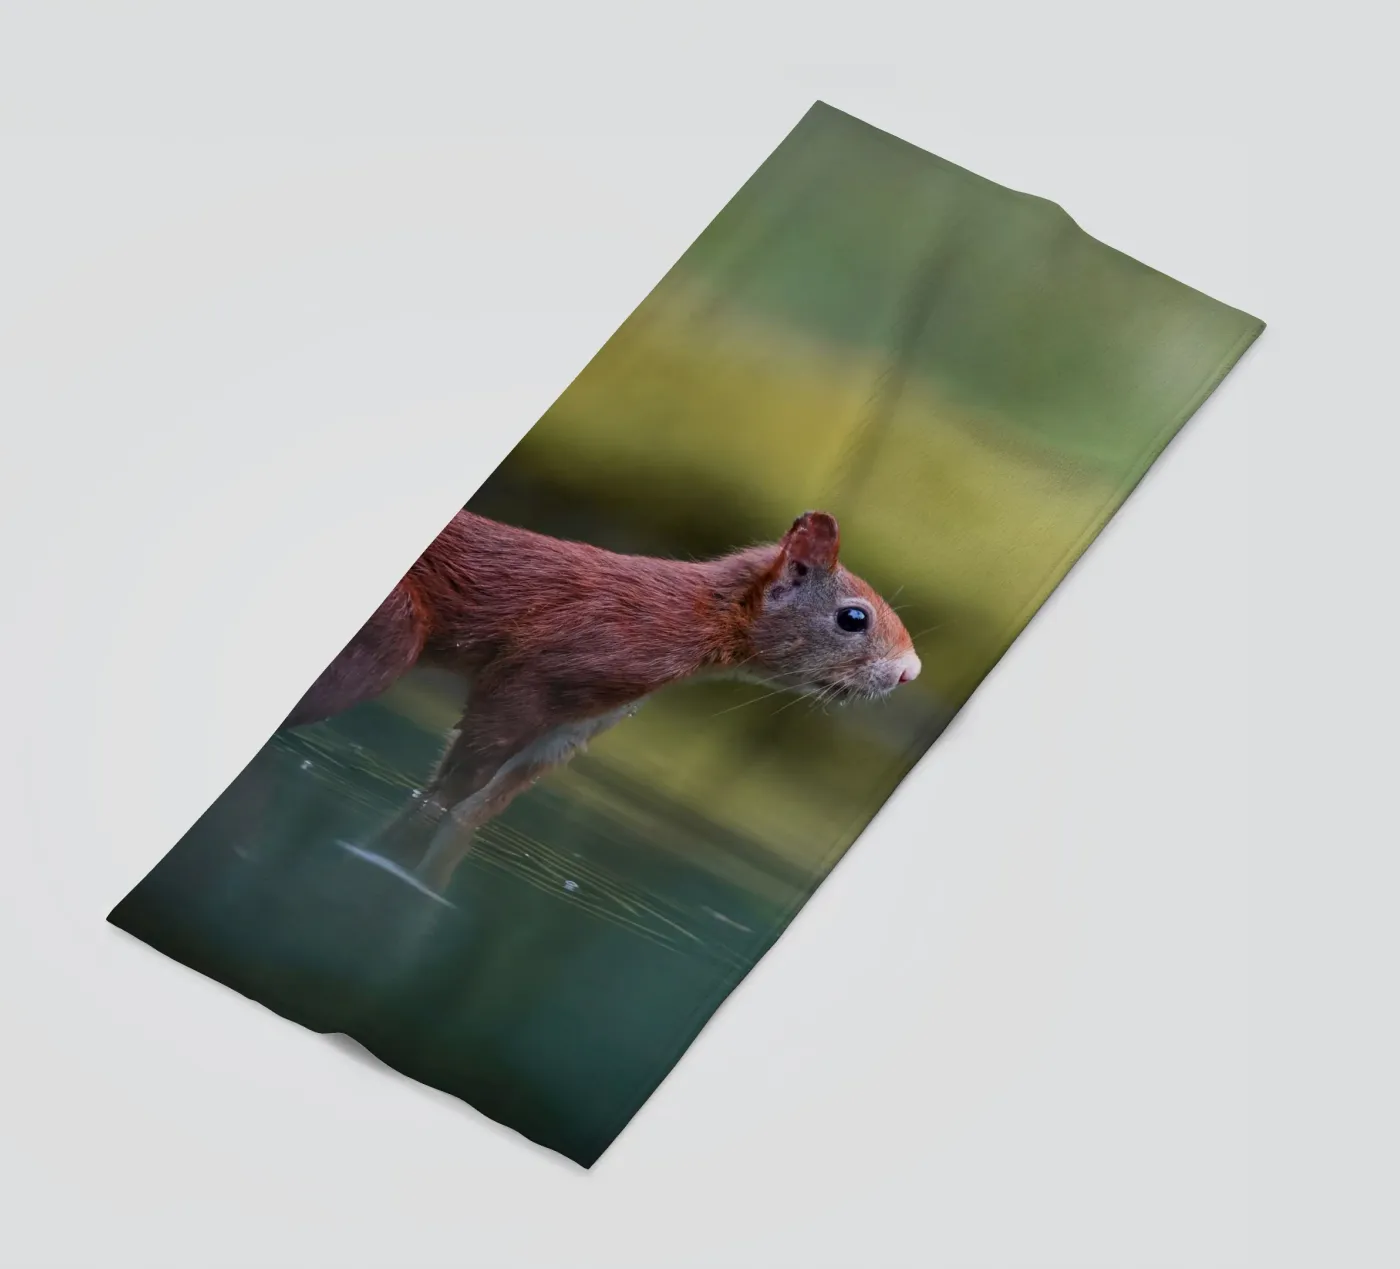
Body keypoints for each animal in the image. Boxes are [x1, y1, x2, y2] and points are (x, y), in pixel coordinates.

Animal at [282, 509, 920, 897]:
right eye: (853, 618)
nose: (910, 671)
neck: (687, 617)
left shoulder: (578, 724)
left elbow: (482, 805)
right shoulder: (545, 672)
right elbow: (462, 775)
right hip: (390, 637)